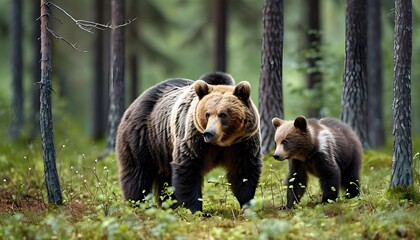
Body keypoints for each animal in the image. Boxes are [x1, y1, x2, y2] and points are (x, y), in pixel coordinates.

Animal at [115, 72, 260, 213]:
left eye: (223, 114)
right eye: (207, 114)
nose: (209, 133)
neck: (221, 143)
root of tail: (137, 100)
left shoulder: (242, 144)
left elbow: (244, 172)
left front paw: (247, 205)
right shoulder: (194, 138)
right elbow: (188, 169)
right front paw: (197, 210)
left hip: (163, 149)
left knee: (165, 178)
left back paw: (169, 205)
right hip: (144, 138)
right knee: (137, 172)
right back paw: (138, 203)